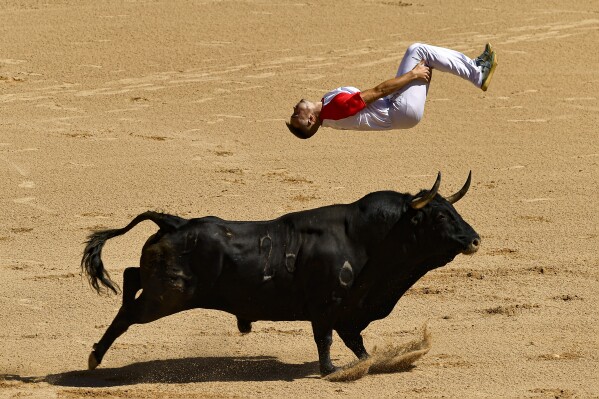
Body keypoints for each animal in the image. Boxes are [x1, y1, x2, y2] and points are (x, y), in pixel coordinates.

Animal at [82, 173, 480, 376]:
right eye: (440, 216)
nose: (475, 239)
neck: (367, 238)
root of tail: (174, 222)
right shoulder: (326, 306)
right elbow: (326, 339)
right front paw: (330, 370)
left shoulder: (350, 309)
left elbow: (356, 342)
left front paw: (367, 362)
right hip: (167, 296)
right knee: (128, 313)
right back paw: (95, 358)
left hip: (161, 288)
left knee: (131, 276)